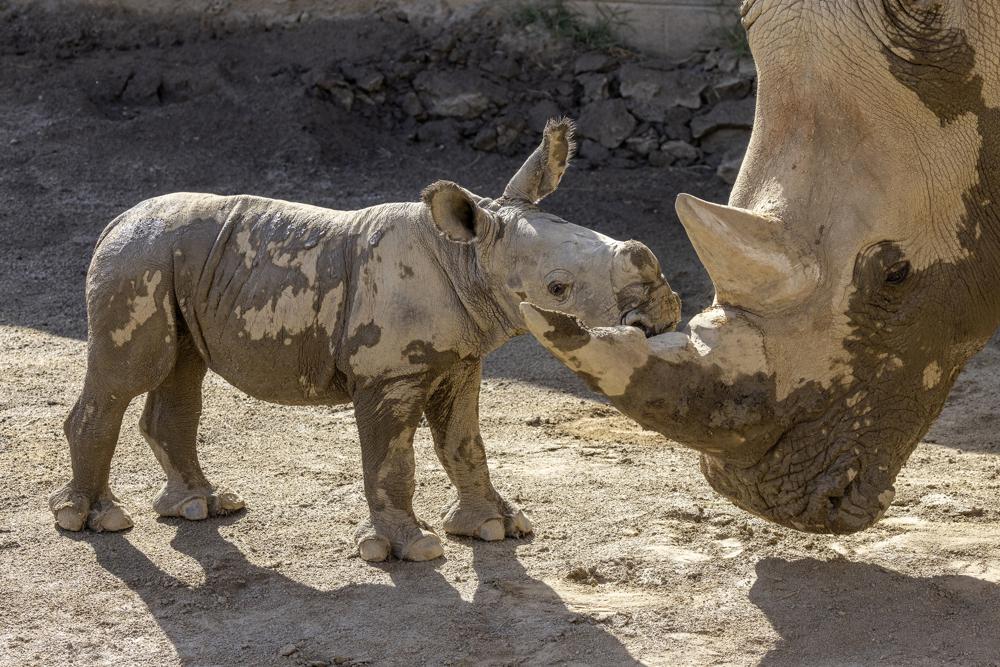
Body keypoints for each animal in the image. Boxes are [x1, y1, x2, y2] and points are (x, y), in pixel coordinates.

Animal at [50, 118, 684, 560]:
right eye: (558, 287)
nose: (661, 309)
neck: (469, 256)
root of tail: (115, 221)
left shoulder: (460, 359)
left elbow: (464, 442)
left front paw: (495, 528)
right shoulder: (388, 373)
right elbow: (391, 458)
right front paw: (413, 549)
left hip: (174, 260)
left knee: (181, 369)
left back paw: (201, 507)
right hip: (138, 259)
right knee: (128, 375)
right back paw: (92, 521)